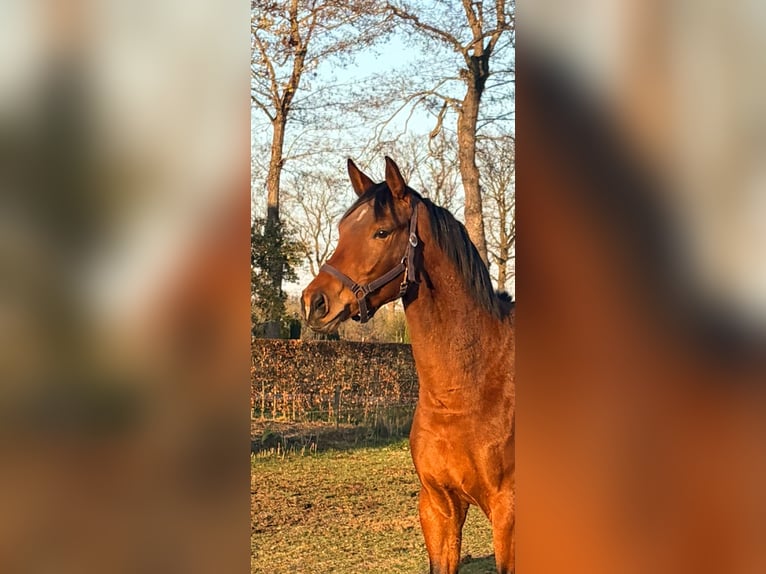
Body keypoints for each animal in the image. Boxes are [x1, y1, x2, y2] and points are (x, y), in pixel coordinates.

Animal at [301, 157, 515, 574]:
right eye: (342, 229)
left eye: (382, 232)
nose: (314, 302)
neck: (468, 390)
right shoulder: (437, 507)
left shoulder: (508, 514)